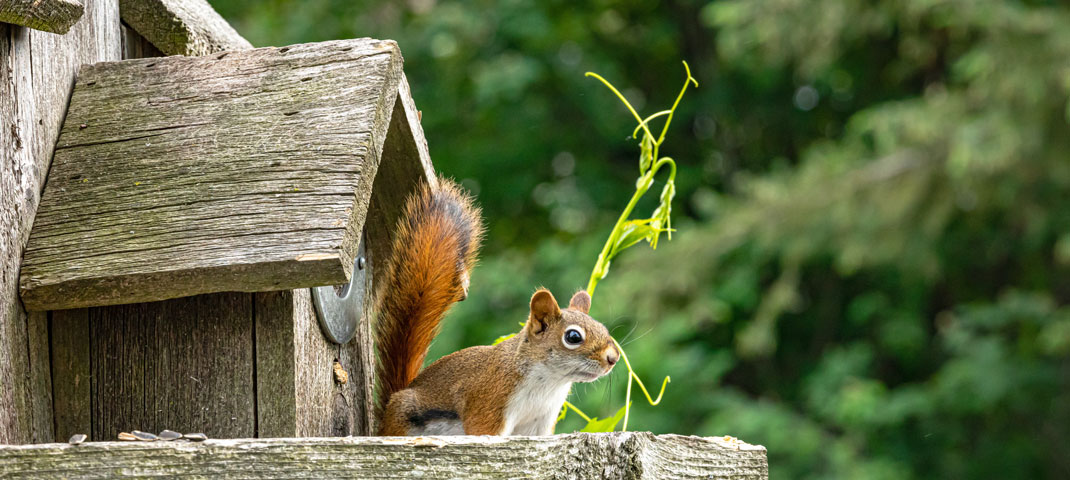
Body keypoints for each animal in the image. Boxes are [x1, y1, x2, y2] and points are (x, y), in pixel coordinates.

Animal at [374, 177, 620, 436]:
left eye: (603, 327)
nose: (613, 358)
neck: (549, 384)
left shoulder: (539, 422)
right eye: (573, 337)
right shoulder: (490, 401)